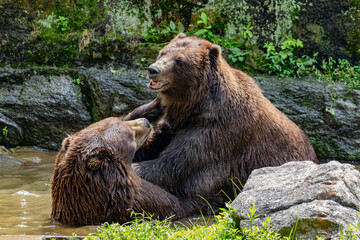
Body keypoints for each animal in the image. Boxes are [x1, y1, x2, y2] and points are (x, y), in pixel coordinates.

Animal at [51, 117, 194, 226]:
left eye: (120, 119)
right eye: (131, 134)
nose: (146, 121)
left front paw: (164, 129)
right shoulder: (144, 204)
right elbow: (178, 205)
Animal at [124, 33, 318, 214]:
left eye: (179, 60)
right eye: (162, 52)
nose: (153, 69)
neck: (195, 106)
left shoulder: (218, 133)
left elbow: (174, 164)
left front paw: (135, 168)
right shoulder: (176, 125)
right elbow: (151, 144)